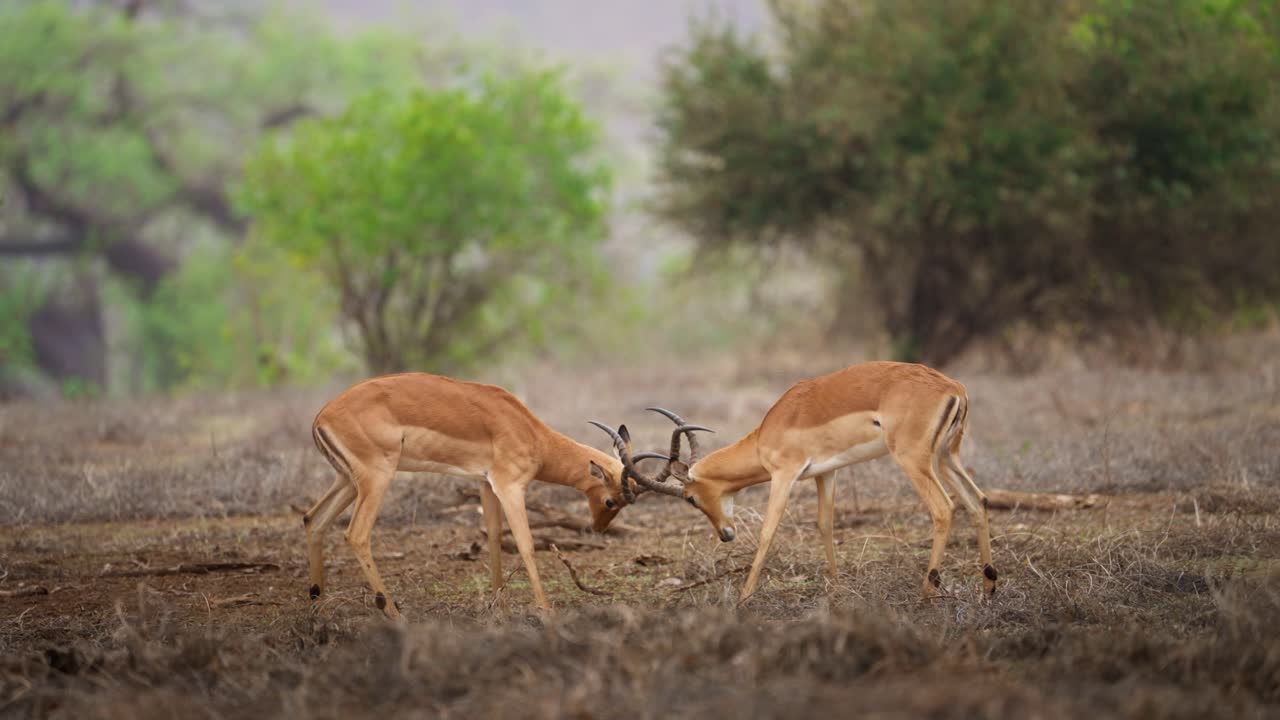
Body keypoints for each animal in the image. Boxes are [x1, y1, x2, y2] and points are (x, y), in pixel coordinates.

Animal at [304, 372, 652, 618]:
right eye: (610, 500)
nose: (598, 528)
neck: (533, 435)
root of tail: (321, 416)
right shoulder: (510, 486)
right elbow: (525, 544)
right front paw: (545, 610)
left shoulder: (487, 485)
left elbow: (494, 536)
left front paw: (501, 608)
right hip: (376, 478)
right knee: (356, 534)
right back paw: (394, 614)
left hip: (347, 480)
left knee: (312, 520)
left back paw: (318, 611)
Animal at [597, 361, 997, 602]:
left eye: (691, 498)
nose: (725, 535)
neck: (767, 433)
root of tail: (954, 387)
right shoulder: (825, 473)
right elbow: (825, 524)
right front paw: (836, 591)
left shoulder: (784, 475)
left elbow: (768, 531)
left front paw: (743, 598)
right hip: (945, 456)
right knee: (977, 500)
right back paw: (988, 587)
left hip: (914, 459)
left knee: (944, 508)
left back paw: (926, 594)